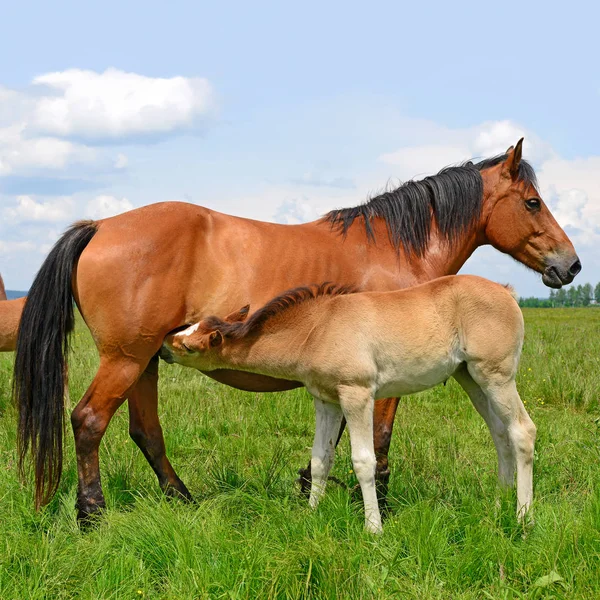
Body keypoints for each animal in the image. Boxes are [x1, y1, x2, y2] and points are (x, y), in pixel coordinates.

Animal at [161, 274, 536, 532]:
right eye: (188, 326)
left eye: (189, 347)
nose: (163, 346)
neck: (317, 328)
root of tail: (507, 292)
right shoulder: (325, 400)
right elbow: (320, 459)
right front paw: (311, 513)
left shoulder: (357, 394)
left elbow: (363, 461)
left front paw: (374, 528)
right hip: (470, 378)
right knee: (500, 435)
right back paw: (500, 504)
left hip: (497, 376)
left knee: (522, 431)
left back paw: (523, 517)